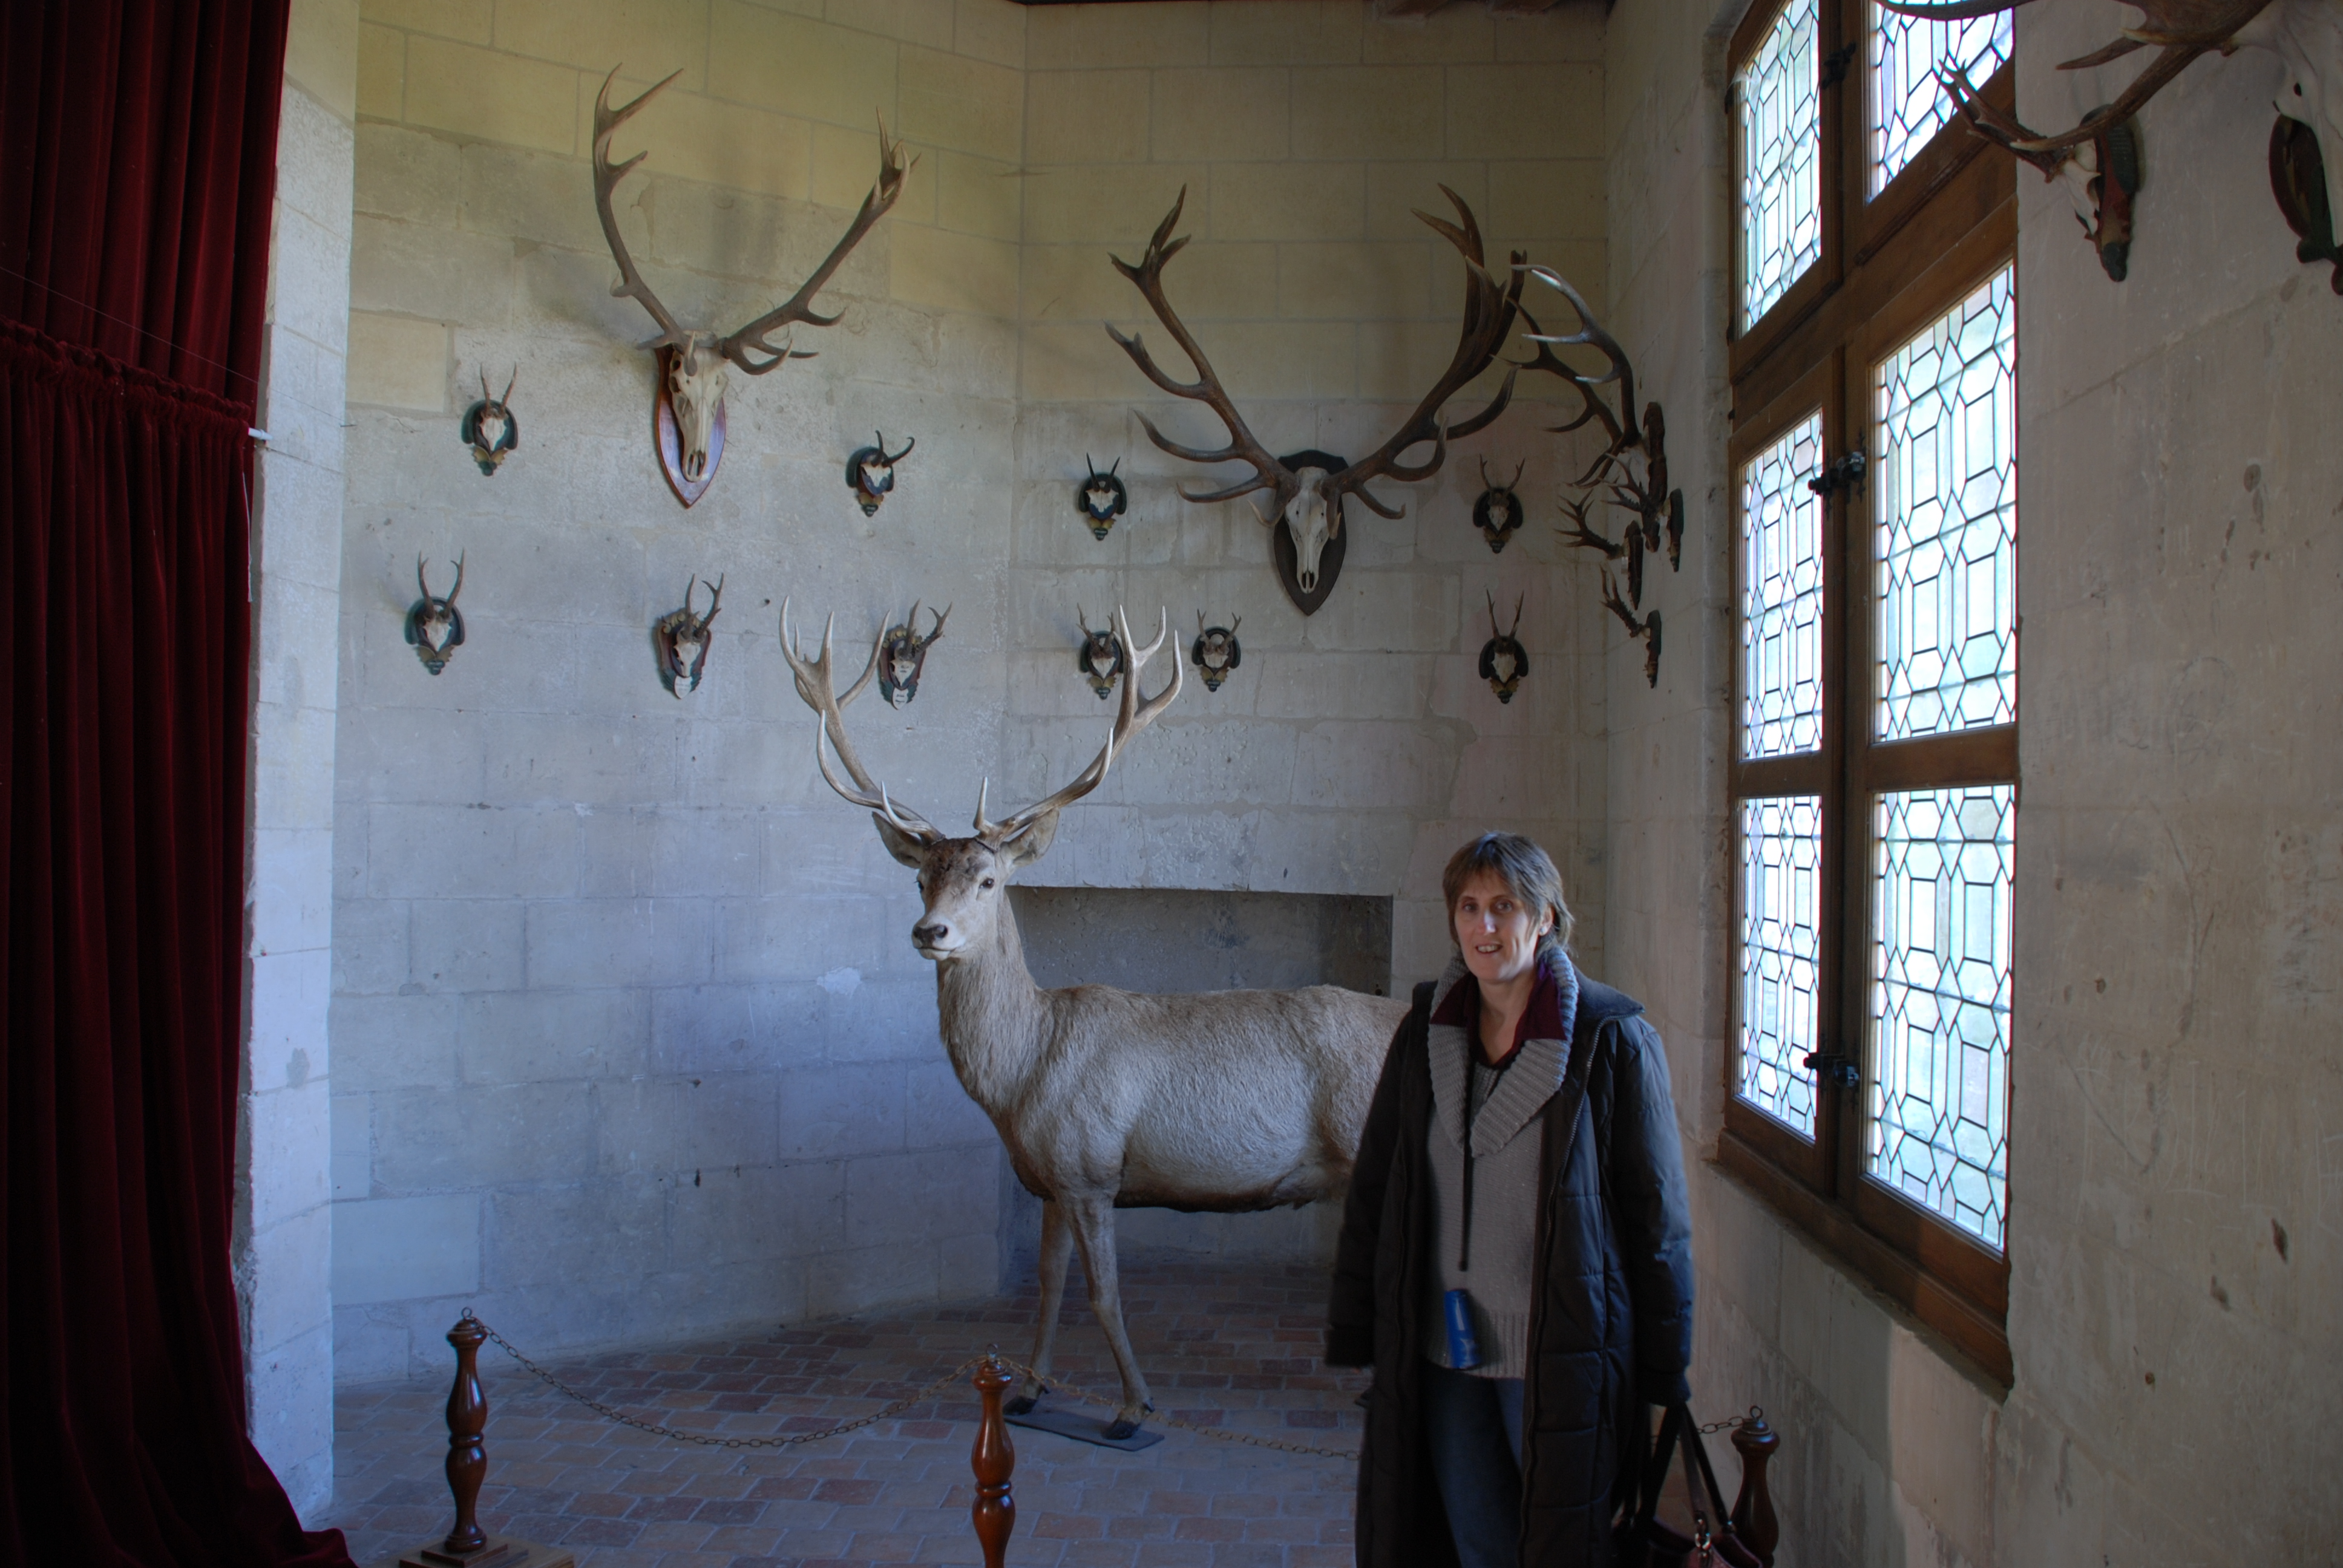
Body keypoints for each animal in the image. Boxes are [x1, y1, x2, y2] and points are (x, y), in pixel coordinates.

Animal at [779, 603, 1410, 1438]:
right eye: (920, 878)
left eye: (988, 879)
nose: (929, 932)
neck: (1020, 1080)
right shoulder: (1048, 1182)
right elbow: (1049, 1286)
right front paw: (1029, 1389)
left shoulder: (1090, 1167)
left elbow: (1102, 1295)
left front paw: (1134, 1406)